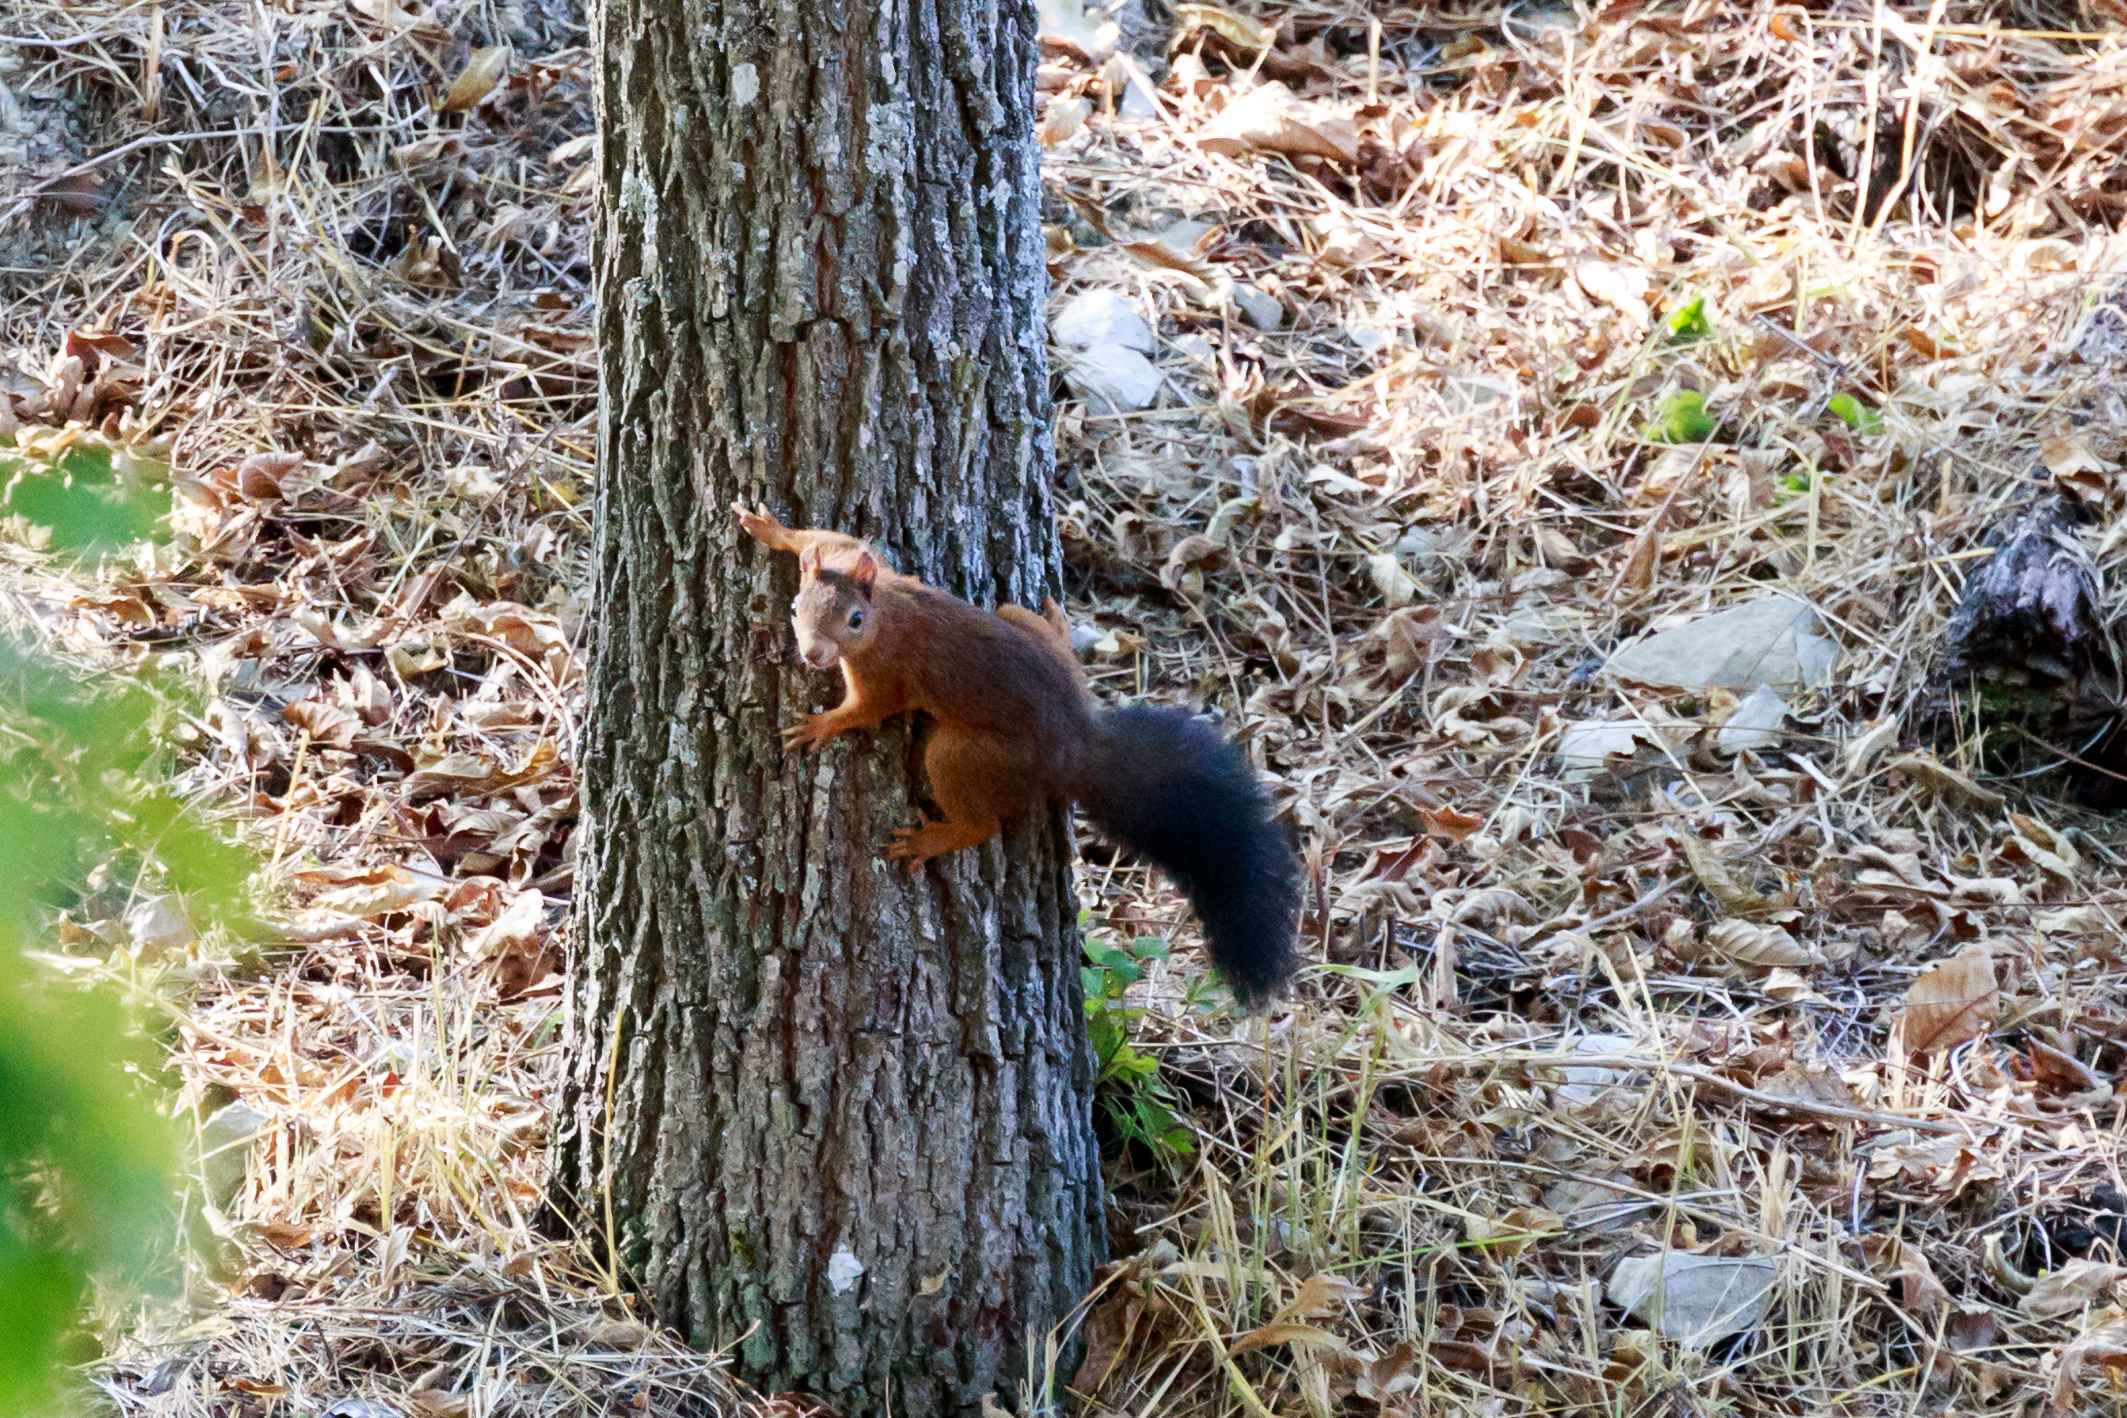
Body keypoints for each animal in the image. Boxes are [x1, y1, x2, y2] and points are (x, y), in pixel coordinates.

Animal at [735, 503, 1300, 1004]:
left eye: (854, 620)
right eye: (795, 608)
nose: (813, 655)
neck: (886, 612)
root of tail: (1075, 743)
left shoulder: (885, 670)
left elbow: (869, 708)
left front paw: (821, 725)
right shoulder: (858, 561)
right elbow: (829, 538)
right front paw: (770, 529)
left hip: (966, 756)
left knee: (978, 822)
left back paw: (933, 839)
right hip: (1018, 624)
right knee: (1035, 627)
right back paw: (1059, 624)